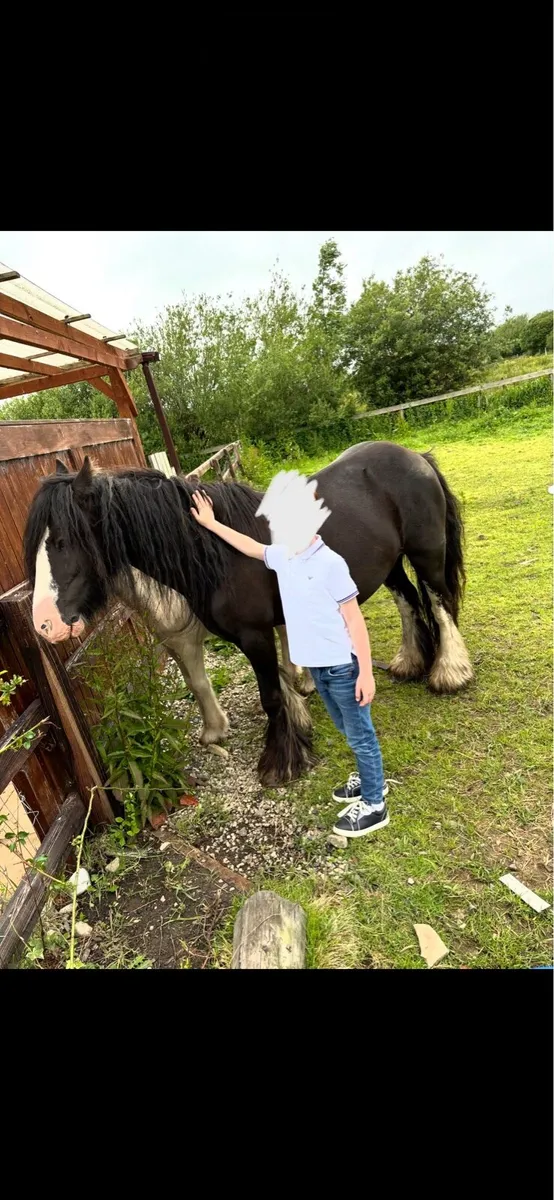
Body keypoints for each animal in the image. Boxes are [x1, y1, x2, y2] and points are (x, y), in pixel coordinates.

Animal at [23, 441, 473, 787]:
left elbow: (271, 695)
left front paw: (281, 761)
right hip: (388, 564)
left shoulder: (255, 635)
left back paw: (448, 672)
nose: (44, 625)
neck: (215, 551)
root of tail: (414, 456)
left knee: (438, 604)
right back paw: (409, 663)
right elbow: (276, 683)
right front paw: (298, 728)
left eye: (63, 541)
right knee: (409, 601)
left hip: (426, 552)